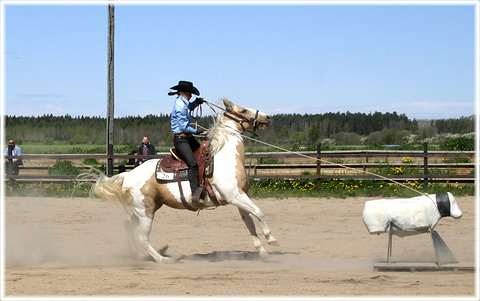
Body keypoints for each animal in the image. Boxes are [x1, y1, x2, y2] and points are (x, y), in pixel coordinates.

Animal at [90, 98, 278, 262]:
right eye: (243, 110)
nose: (268, 117)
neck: (224, 157)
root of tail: (128, 175)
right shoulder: (236, 196)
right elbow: (259, 212)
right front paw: (271, 239)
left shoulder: (239, 198)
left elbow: (250, 222)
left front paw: (262, 251)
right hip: (146, 211)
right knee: (142, 237)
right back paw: (163, 259)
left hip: (146, 209)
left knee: (128, 226)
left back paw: (139, 255)